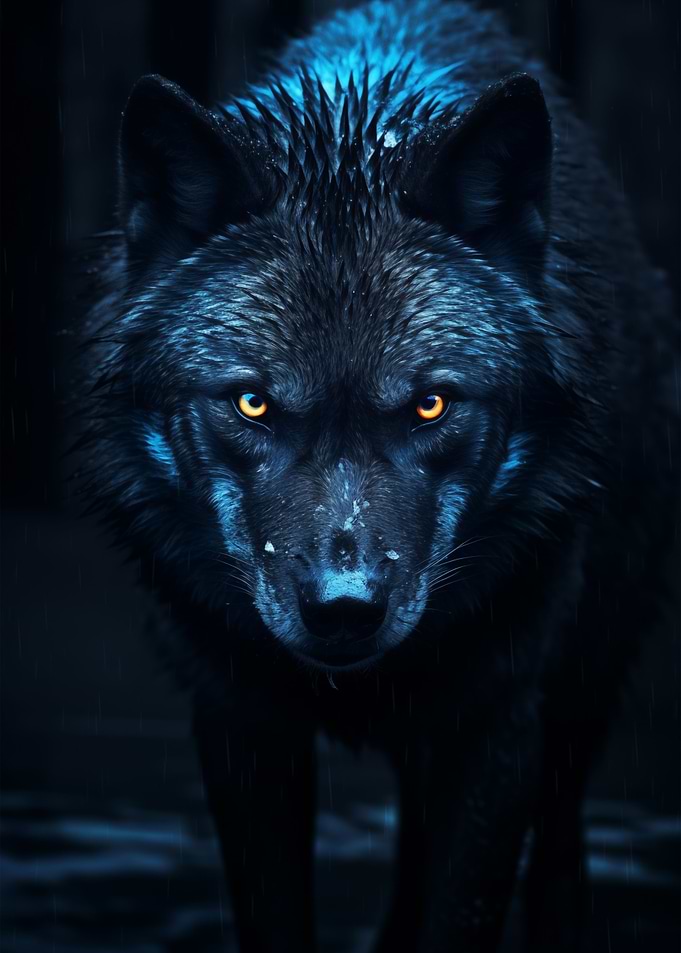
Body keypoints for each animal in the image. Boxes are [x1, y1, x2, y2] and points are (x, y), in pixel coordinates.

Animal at [79, 0, 678, 950]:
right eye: (251, 403)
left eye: (430, 405)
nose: (343, 608)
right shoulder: (238, 724)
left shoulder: (500, 726)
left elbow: (462, 913)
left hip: (585, 690)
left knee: (559, 858)